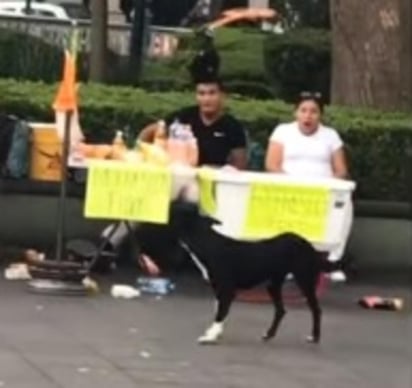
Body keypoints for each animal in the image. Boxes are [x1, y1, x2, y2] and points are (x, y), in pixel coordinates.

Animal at [166, 209, 340, 346]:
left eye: (176, 215)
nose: (166, 215)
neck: (208, 243)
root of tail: (310, 247)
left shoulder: (227, 291)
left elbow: (220, 313)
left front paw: (210, 336)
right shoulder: (218, 290)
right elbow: (219, 311)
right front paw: (215, 332)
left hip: (304, 280)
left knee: (316, 310)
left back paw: (314, 337)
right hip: (273, 284)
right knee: (281, 310)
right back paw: (269, 334)